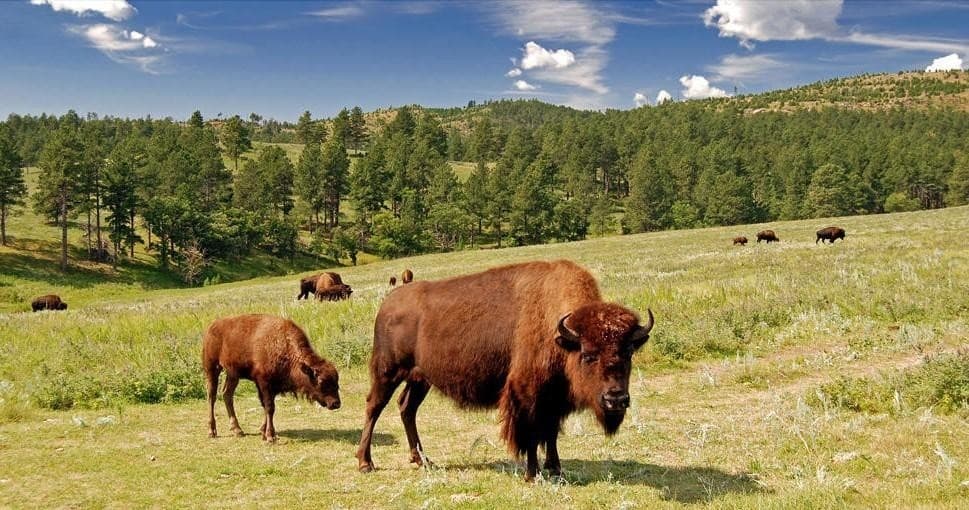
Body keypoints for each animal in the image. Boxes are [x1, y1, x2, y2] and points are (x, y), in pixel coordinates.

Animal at [202, 314, 341, 441]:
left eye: (336, 381)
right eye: (321, 381)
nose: (336, 403)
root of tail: (212, 326)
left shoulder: (272, 387)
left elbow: (267, 407)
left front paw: (263, 432)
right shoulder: (264, 383)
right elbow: (269, 407)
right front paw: (270, 436)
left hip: (233, 374)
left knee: (227, 394)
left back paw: (238, 430)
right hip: (212, 368)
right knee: (211, 396)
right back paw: (212, 431)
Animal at [356, 260, 654, 481]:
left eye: (628, 352)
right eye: (588, 355)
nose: (615, 399)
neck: (560, 333)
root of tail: (389, 302)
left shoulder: (553, 398)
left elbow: (550, 432)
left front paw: (555, 469)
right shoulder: (527, 394)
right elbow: (531, 434)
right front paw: (532, 474)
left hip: (420, 378)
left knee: (406, 408)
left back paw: (422, 460)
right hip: (388, 371)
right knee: (373, 406)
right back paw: (365, 463)